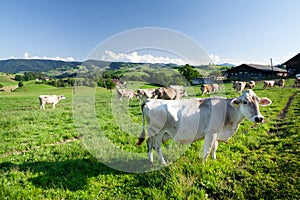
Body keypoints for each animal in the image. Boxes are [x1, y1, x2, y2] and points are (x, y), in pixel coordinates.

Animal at [137, 90, 272, 165]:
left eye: (258, 101)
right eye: (245, 102)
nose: (259, 118)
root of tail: (149, 100)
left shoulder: (217, 133)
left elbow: (214, 148)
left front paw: (214, 159)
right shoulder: (211, 133)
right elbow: (207, 150)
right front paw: (204, 164)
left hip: (154, 132)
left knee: (149, 144)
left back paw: (151, 161)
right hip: (158, 132)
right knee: (157, 147)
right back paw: (164, 163)